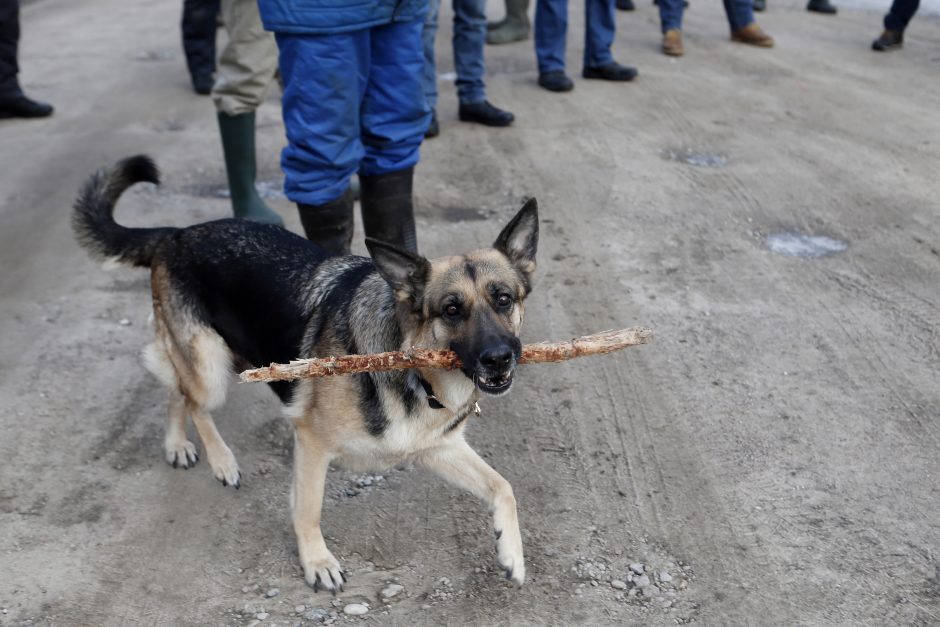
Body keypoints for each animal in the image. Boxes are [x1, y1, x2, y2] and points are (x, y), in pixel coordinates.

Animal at [72, 157, 536, 592]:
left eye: (504, 299)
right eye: (452, 310)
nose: (499, 359)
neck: (414, 371)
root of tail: (177, 233)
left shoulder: (436, 448)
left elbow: (504, 486)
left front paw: (511, 553)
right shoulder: (313, 443)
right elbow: (309, 509)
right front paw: (317, 561)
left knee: (176, 388)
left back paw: (176, 444)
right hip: (210, 366)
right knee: (193, 400)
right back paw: (220, 460)